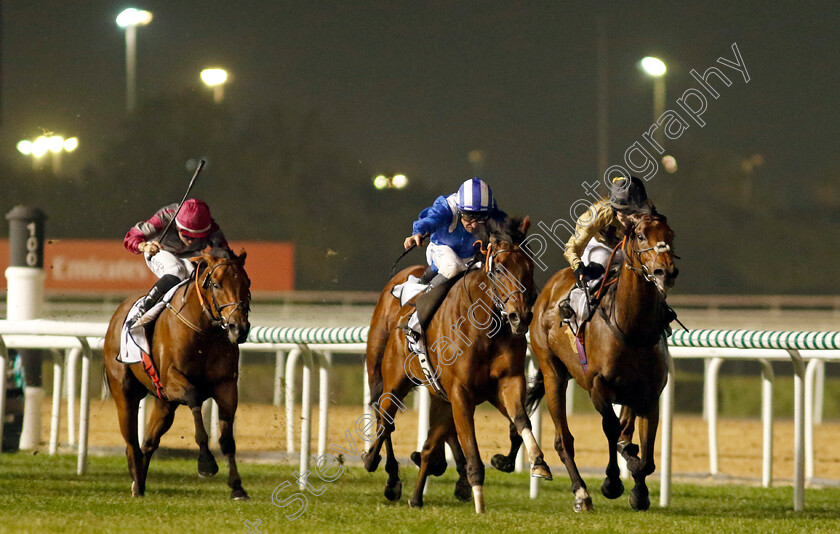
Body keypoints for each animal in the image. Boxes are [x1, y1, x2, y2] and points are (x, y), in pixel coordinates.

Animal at [103, 251, 251, 502]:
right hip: (125, 394)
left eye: (247, 283)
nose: (238, 328)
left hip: (165, 404)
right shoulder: (173, 381)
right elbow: (194, 402)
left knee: (148, 442)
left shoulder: (226, 386)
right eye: (216, 284)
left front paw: (237, 487)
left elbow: (227, 440)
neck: (204, 333)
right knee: (132, 443)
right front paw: (206, 463)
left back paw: (139, 482)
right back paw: (136, 482)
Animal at [362, 219, 552, 516]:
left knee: (422, 438)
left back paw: (416, 491)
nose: (520, 317)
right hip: (392, 378)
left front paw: (535, 462)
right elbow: (471, 449)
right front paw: (479, 502)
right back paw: (380, 468)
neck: (485, 327)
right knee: (386, 417)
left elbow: (521, 421)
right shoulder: (461, 393)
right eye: (499, 268)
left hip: (438, 394)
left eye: (529, 268)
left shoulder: (505, 382)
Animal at [520, 211, 680, 512]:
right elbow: (612, 429)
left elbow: (646, 451)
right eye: (640, 235)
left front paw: (639, 491)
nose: (665, 272)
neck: (632, 328)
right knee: (563, 440)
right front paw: (612, 482)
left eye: (671, 234)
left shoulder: (650, 394)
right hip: (552, 372)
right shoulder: (598, 386)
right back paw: (582, 493)